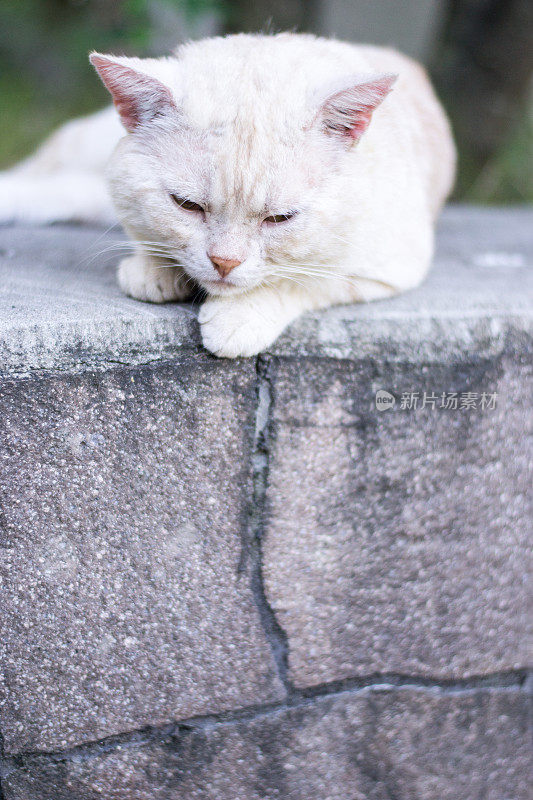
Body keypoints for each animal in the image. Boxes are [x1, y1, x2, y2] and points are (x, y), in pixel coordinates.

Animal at [0, 34, 454, 358]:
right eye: (187, 205)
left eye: (280, 218)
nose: (224, 262)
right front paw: (153, 270)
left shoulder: (392, 264)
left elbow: (307, 280)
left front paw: (238, 318)